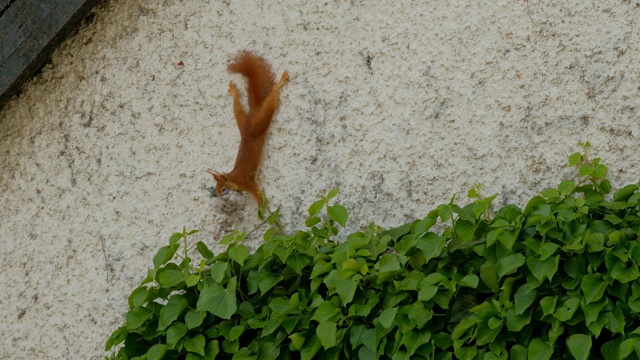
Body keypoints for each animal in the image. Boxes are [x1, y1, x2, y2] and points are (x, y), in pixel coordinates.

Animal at [208, 51, 288, 207]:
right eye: (215, 188)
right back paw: (234, 92)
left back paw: (280, 82)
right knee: (238, 110)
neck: (234, 177)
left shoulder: (248, 182)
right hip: (242, 122)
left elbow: (257, 193)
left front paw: (262, 206)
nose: (219, 196)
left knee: (270, 102)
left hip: (260, 122)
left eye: (224, 189)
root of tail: (253, 114)